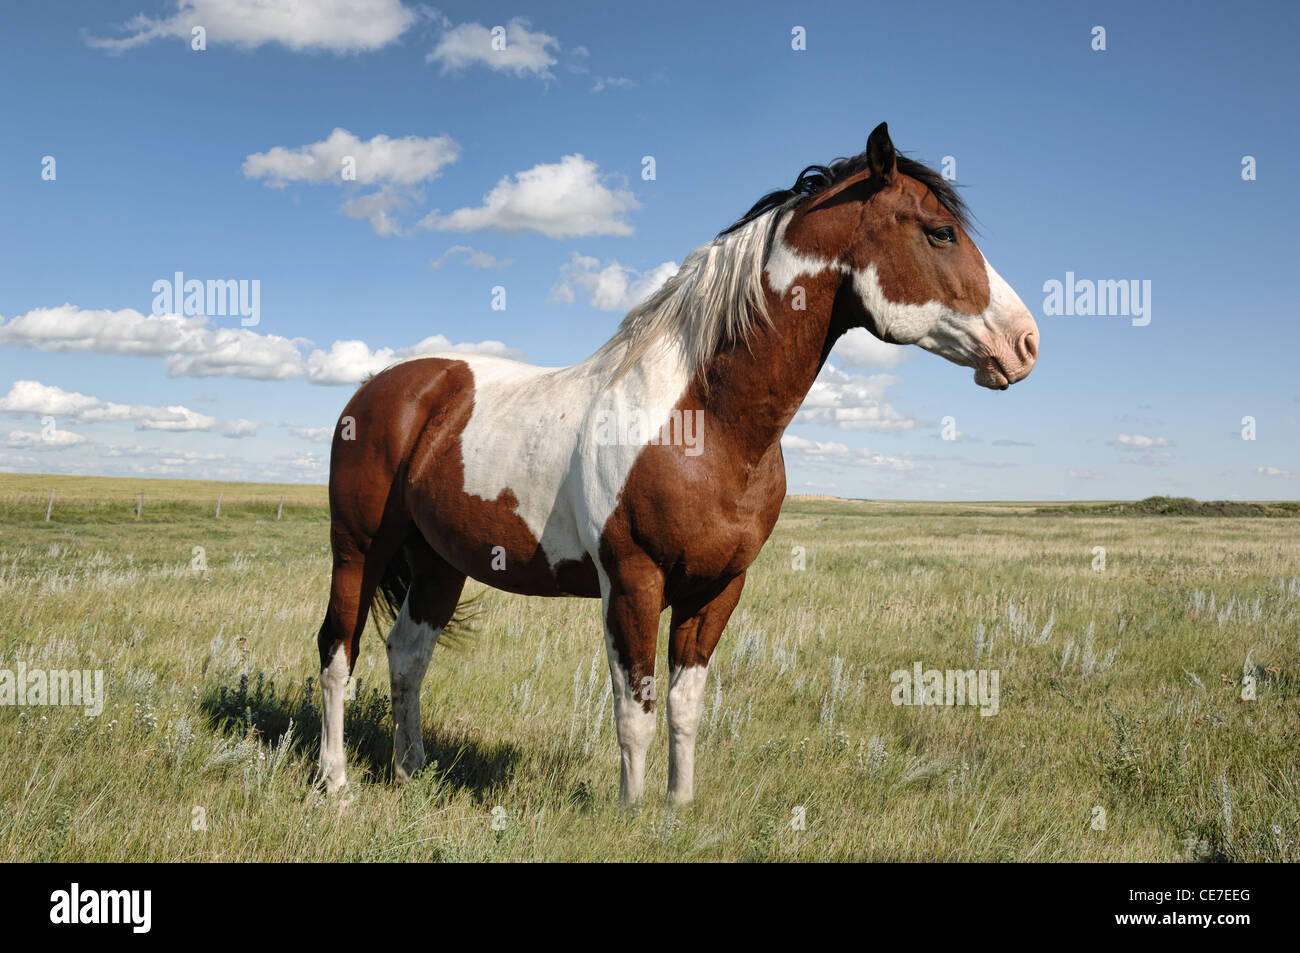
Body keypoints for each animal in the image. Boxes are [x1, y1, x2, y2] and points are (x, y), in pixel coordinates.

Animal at [314, 120, 1034, 800]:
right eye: (940, 232)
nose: (1025, 343)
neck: (703, 425)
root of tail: (382, 386)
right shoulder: (633, 582)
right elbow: (634, 709)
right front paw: (631, 814)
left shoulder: (718, 588)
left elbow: (686, 708)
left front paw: (678, 808)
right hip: (359, 550)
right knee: (337, 649)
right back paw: (336, 780)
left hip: (439, 561)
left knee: (406, 654)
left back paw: (411, 769)